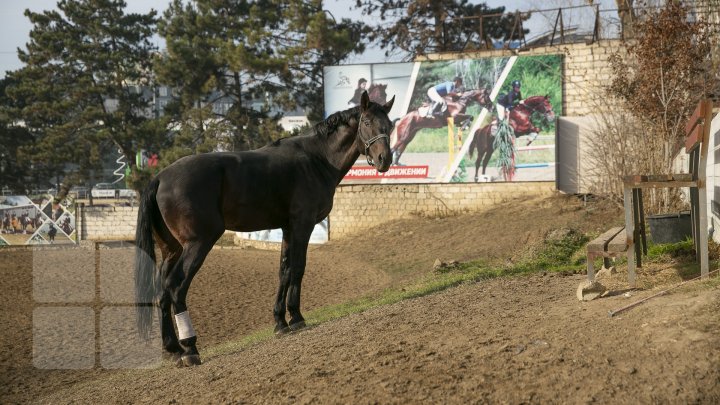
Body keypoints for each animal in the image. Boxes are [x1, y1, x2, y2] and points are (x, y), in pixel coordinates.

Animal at [134, 92, 394, 366]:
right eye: (367, 122)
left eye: (389, 125)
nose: (384, 160)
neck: (316, 159)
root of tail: (160, 177)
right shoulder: (303, 225)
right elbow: (298, 268)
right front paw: (297, 318)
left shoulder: (288, 228)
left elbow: (284, 270)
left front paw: (280, 322)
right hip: (198, 244)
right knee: (176, 287)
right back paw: (190, 348)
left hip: (171, 250)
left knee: (163, 292)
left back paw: (173, 349)